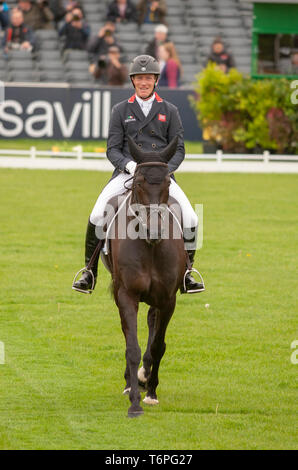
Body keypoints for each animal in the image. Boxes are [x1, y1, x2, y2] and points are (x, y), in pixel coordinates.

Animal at [102, 137, 186, 418]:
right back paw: (132, 381)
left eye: (168, 182)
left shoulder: (169, 299)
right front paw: (134, 401)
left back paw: (144, 376)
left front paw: (150, 393)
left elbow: (158, 345)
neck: (149, 246)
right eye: (138, 182)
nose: (154, 231)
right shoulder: (127, 295)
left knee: (151, 322)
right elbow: (132, 347)